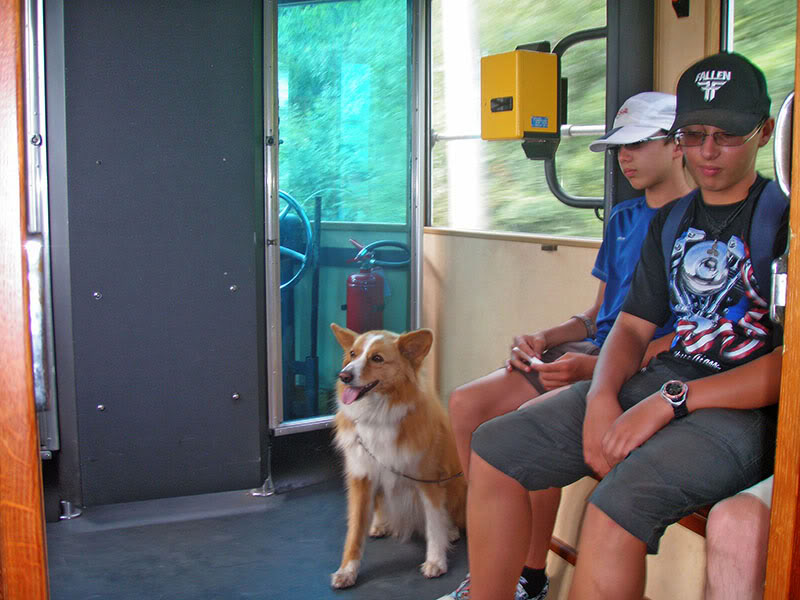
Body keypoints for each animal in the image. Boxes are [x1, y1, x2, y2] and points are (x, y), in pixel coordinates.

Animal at [330, 324, 468, 592]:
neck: (377, 415)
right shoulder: (362, 477)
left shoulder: (428, 479)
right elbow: (354, 532)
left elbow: (434, 523)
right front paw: (347, 570)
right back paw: (379, 524)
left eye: (377, 358)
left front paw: (436, 561)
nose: (344, 376)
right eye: (352, 354)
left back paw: (451, 531)